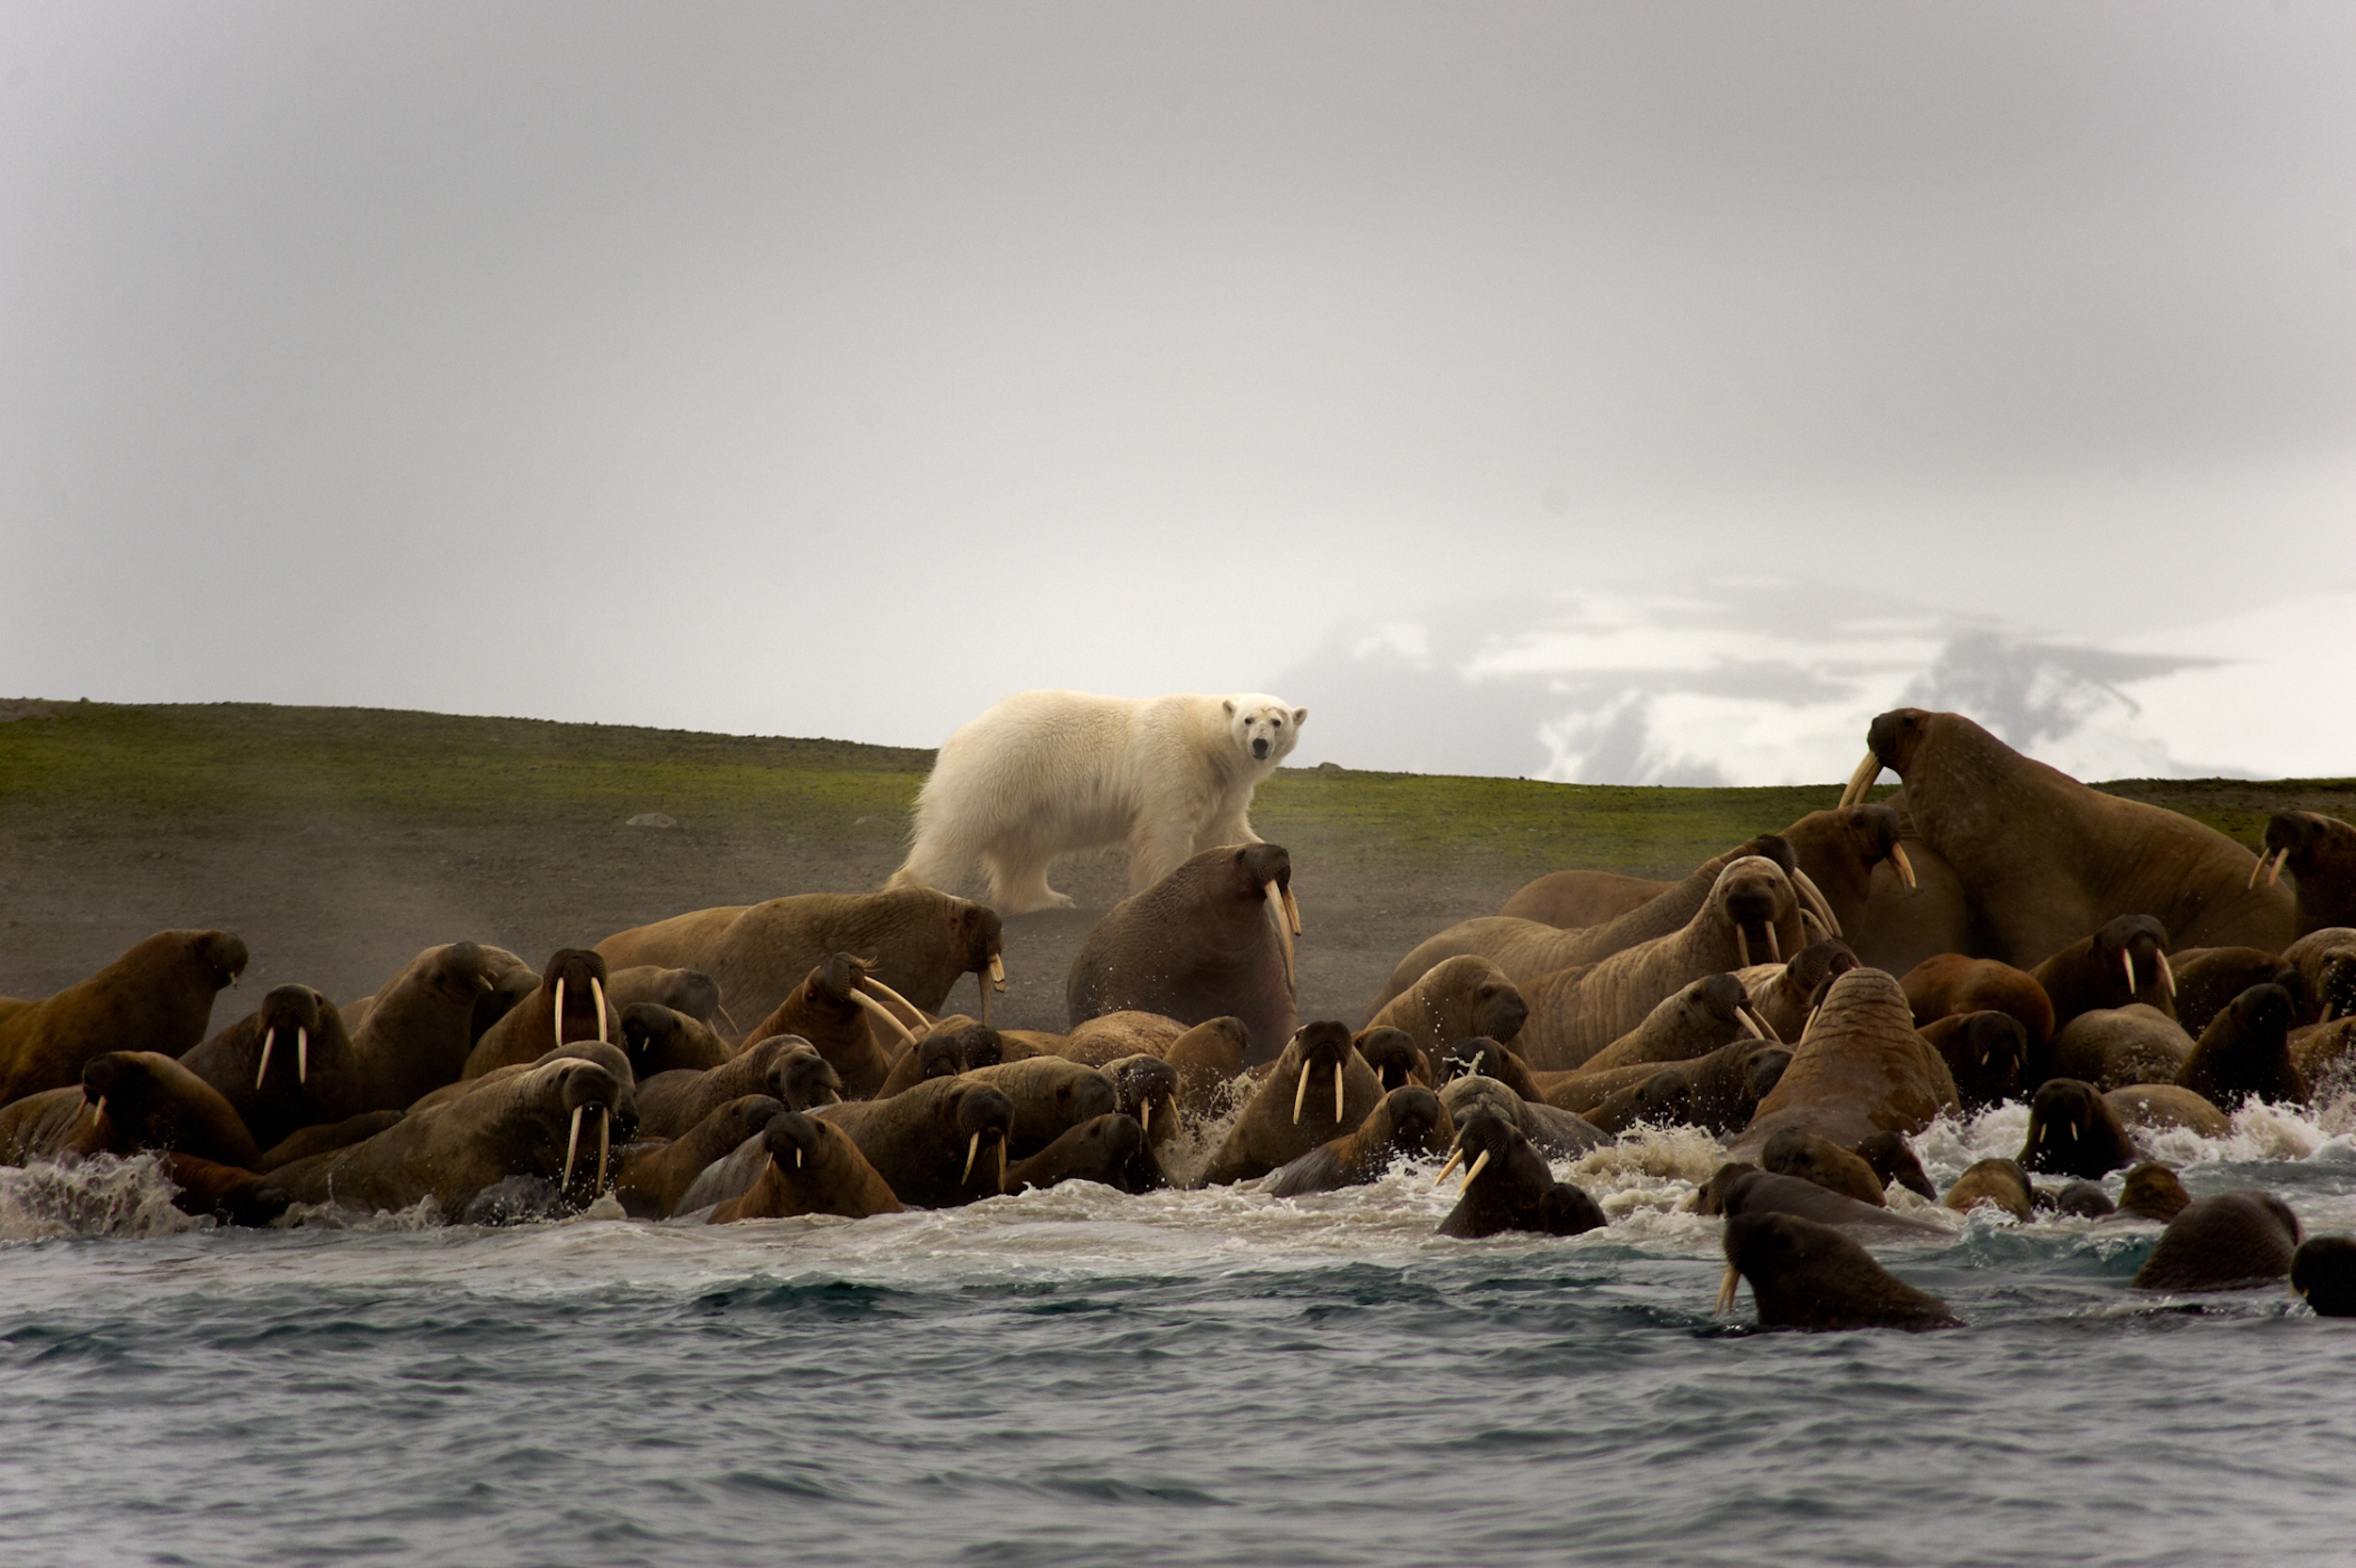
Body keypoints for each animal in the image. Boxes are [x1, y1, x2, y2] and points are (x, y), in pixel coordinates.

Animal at [886, 690, 1307, 915]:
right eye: (1248, 719)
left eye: (1278, 721)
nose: (1260, 744)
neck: (1203, 739)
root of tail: (962, 732)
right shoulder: (1174, 766)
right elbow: (1164, 832)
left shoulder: (1226, 787)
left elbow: (1227, 831)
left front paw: (1273, 866)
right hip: (997, 771)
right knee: (955, 833)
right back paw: (919, 892)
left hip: (1031, 801)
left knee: (1025, 852)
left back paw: (1047, 899)